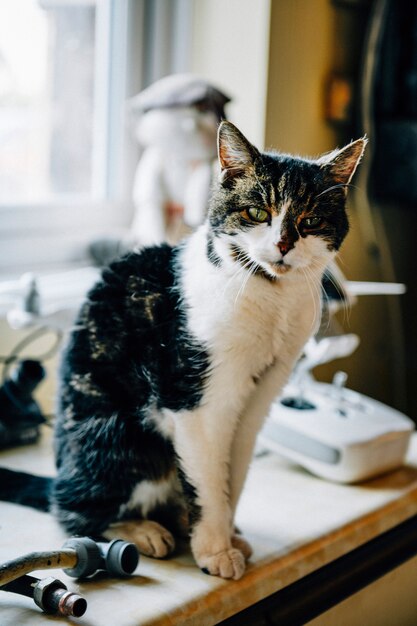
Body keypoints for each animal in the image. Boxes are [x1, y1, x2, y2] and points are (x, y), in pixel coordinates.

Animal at [0, 119, 364, 576]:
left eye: (311, 219)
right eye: (257, 213)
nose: (283, 244)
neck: (270, 298)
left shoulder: (258, 401)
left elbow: (231, 478)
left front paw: (226, 534)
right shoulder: (196, 401)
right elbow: (208, 481)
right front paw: (215, 550)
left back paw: (179, 518)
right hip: (118, 434)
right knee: (72, 509)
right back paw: (143, 530)